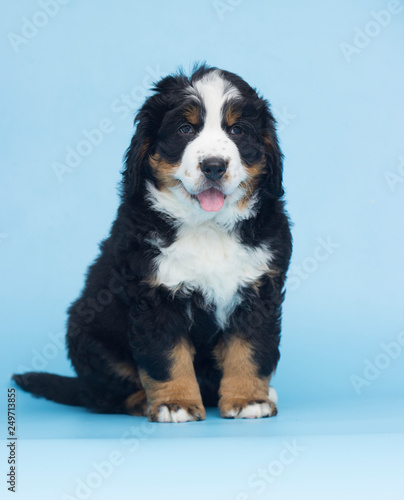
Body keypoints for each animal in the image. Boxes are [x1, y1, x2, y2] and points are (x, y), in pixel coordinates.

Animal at [11, 65, 290, 422]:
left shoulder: (258, 289)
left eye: (237, 130)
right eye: (185, 129)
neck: (207, 227)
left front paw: (248, 399)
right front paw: (176, 403)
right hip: (88, 333)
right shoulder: (154, 294)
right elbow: (167, 357)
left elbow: (249, 350)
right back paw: (141, 402)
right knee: (102, 395)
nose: (214, 166)